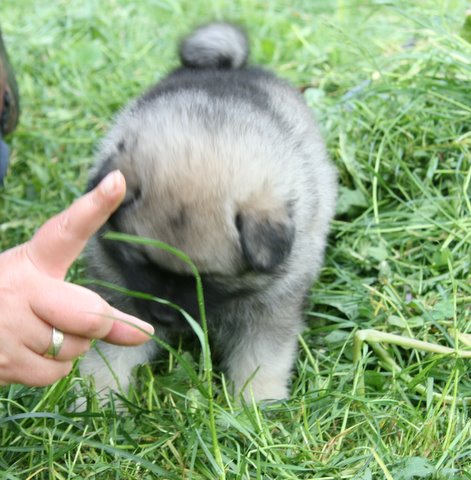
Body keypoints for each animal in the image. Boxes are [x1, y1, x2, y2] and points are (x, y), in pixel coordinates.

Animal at [79, 22, 338, 404]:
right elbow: (112, 348)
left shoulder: (272, 305)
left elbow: (262, 358)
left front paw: (256, 405)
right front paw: (98, 398)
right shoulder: (121, 290)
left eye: (208, 280)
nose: (161, 315)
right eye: (139, 261)